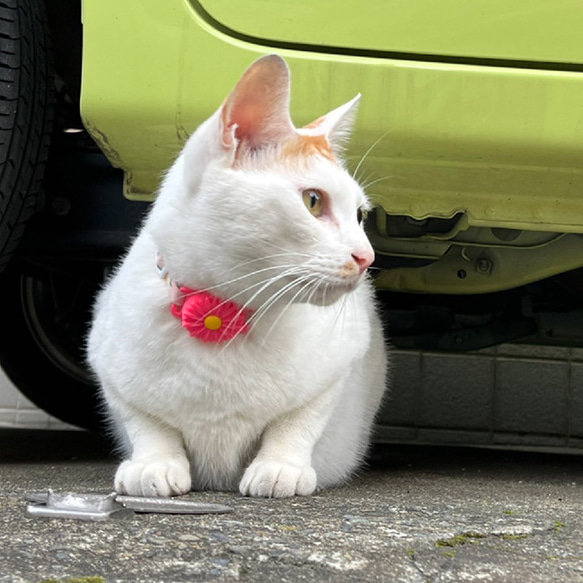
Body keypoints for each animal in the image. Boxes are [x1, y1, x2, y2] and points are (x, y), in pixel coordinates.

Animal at [86, 54, 388, 500]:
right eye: (313, 201)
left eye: (360, 215)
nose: (366, 257)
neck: (222, 310)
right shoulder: (108, 363)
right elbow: (146, 423)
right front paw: (153, 463)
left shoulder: (348, 356)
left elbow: (298, 422)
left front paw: (280, 466)